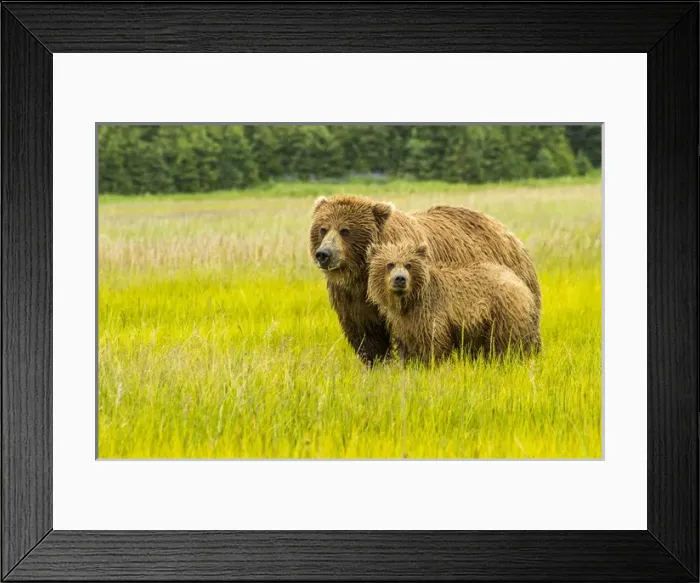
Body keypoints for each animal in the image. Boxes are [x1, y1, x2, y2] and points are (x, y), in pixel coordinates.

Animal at [367, 240, 540, 364]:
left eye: (408, 264)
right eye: (390, 264)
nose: (400, 279)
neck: (409, 301)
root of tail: (521, 283)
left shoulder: (432, 312)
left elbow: (435, 345)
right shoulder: (404, 323)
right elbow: (408, 347)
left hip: (503, 311)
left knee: (505, 343)